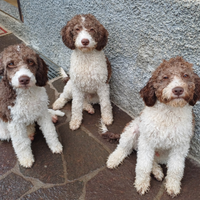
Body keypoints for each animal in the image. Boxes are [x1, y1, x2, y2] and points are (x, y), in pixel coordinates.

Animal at [107, 56, 200, 197]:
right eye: (165, 77)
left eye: (185, 75)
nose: (178, 90)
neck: (169, 112)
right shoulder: (147, 141)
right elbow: (143, 165)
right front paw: (141, 183)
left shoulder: (180, 146)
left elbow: (176, 168)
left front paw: (173, 185)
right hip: (133, 129)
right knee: (124, 148)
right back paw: (114, 159)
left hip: (164, 155)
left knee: (153, 161)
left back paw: (157, 171)